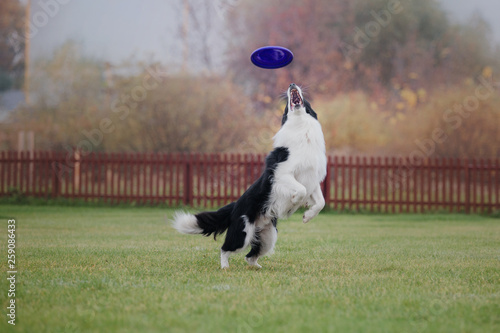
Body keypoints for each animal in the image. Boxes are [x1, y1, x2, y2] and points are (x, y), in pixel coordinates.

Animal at [174, 83, 326, 268]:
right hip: (243, 232)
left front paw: (307, 216)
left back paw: (257, 267)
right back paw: (225, 267)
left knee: (250, 256)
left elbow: (320, 202)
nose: (291, 84)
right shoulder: (281, 173)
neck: (301, 127)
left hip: (269, 235)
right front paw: (293, 204)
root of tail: (234, 206)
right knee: (225, 248)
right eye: (285, 108)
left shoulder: (313, 180)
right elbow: (301, 190)